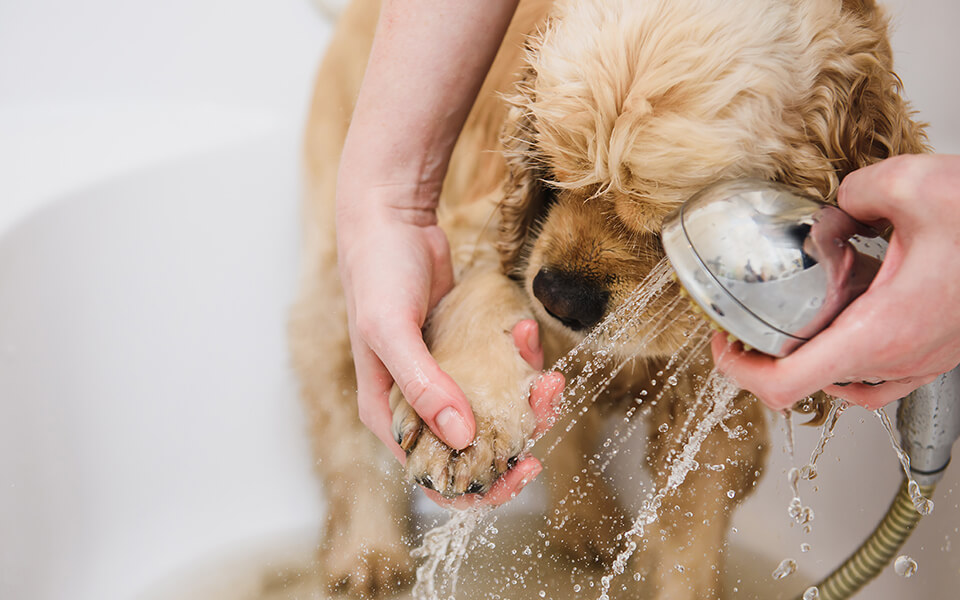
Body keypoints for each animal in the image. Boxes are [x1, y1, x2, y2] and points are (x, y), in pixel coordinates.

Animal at [288, 1, 928, 596]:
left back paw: (588, 526)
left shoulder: (716, 396)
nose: (558, 298)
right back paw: (369, 555)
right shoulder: (482, 226)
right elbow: (482, 294)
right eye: (551, 168)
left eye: (672, 223)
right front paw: (463, 429)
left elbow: (690, 533)